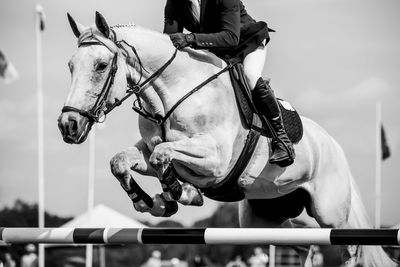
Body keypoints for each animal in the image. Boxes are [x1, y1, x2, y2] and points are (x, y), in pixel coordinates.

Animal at [57, 13, 396, 267]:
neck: (173, 94)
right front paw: (152, 202)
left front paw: (179, 194)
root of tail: (334, 145)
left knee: (349, 248)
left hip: (330, 212)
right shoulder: (150, 150)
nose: (68, 126)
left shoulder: (214, 161)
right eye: (70, 66)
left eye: (101, 66)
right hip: (263, 217)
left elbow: (162, 154)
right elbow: (122, 161)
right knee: (299, 245)